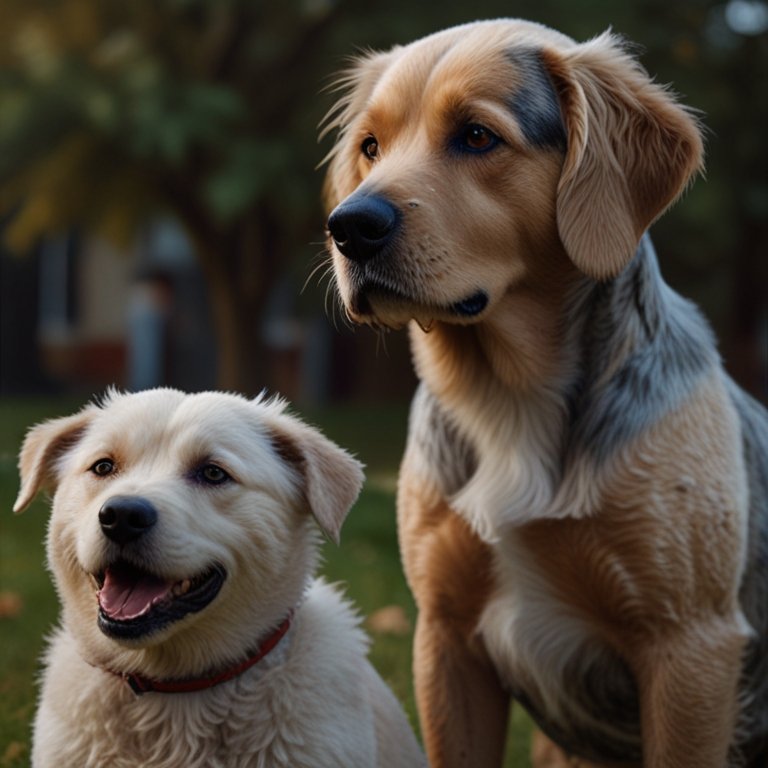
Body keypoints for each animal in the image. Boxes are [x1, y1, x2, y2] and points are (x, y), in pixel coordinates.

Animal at [324, 16, 768, 768]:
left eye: (477, 136)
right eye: (370, 147)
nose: (348, 227)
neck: (506, 398)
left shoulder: (690, 651)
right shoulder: (446, 639)